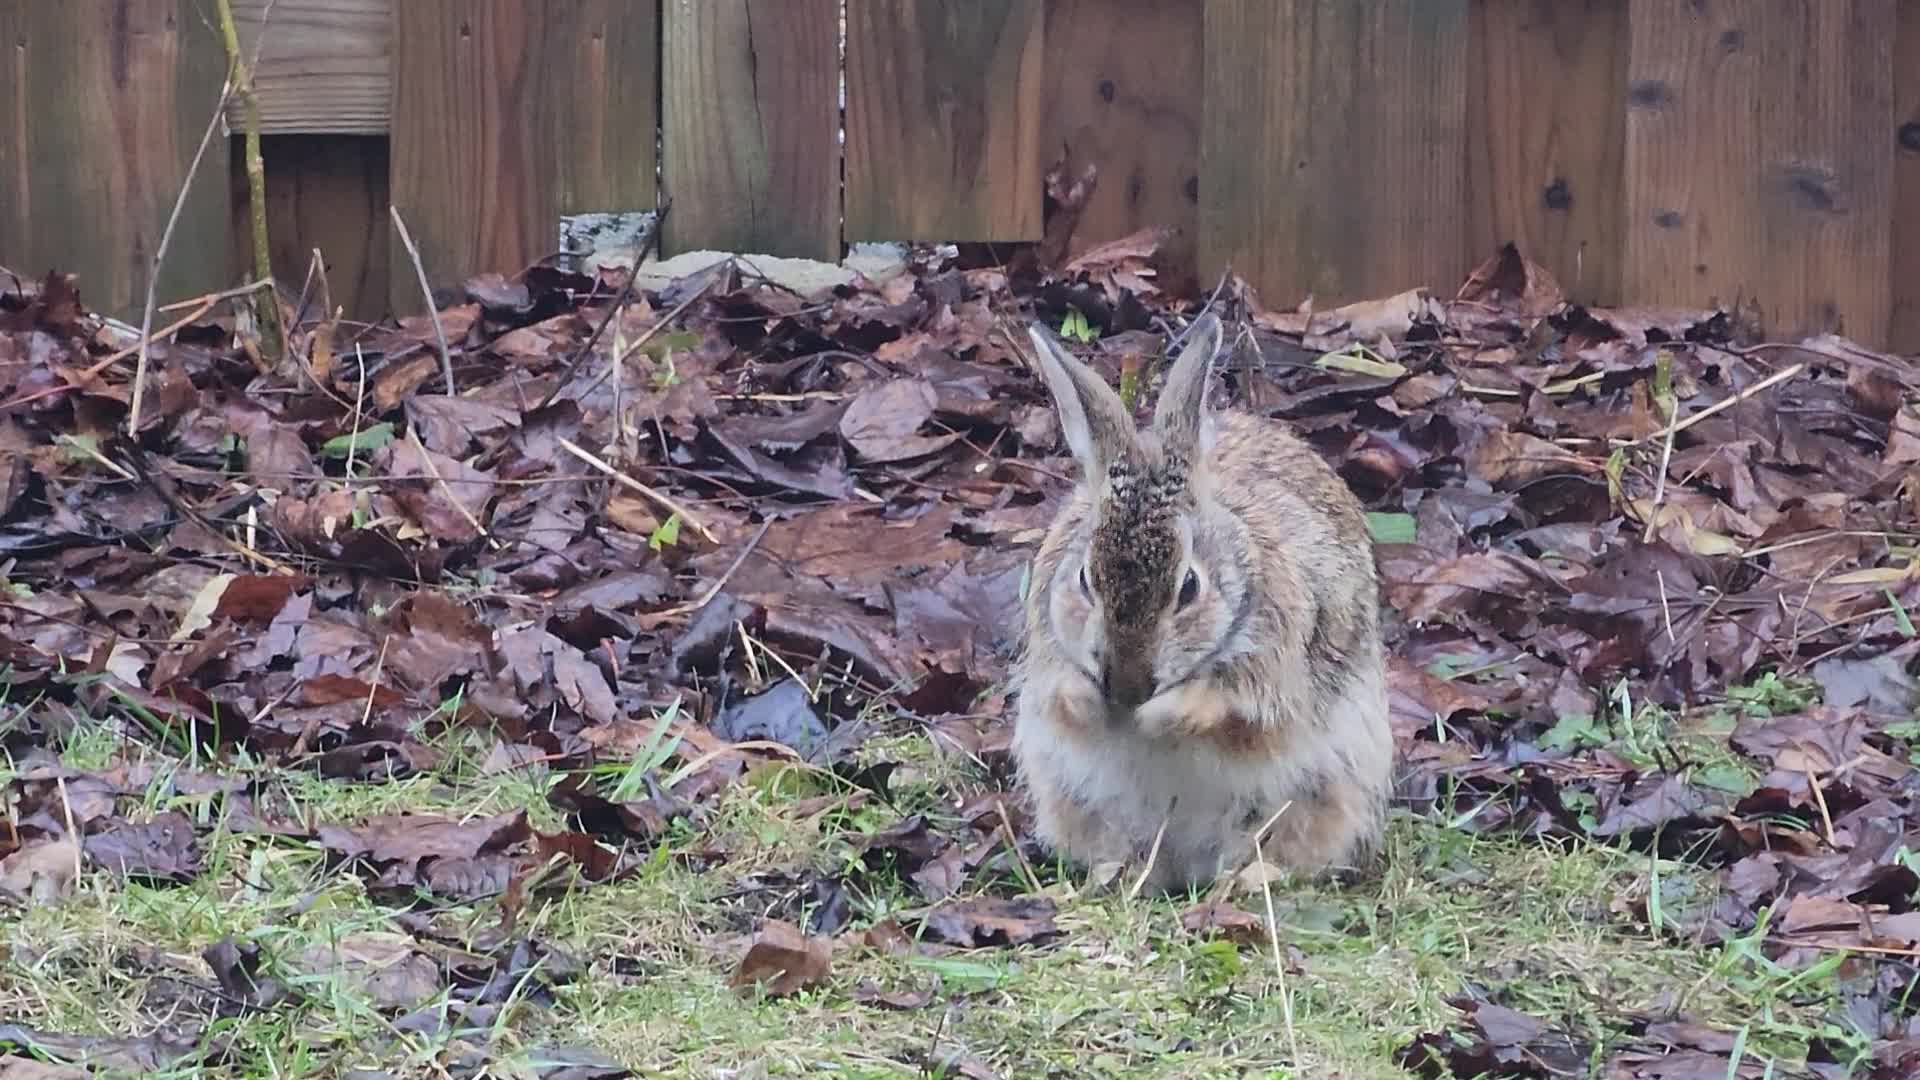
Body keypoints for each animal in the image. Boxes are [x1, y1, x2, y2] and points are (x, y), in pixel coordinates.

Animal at [1009, 312, 1394, 894]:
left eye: (1188, 587)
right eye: (1084, 579)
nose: (1126, 686)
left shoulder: (1274, 674)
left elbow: (1234, 714)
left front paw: (1157, 717)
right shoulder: (1047, 655)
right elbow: (1061, 698)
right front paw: (1092, 702)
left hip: (1324, 790)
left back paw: (1249, 878)